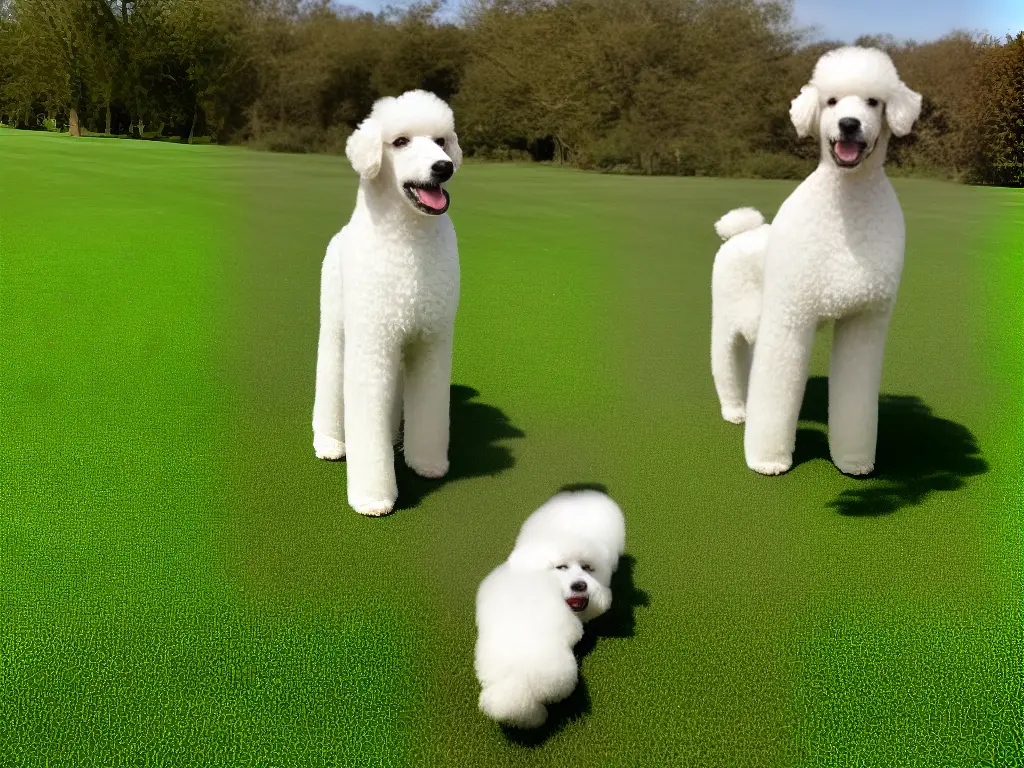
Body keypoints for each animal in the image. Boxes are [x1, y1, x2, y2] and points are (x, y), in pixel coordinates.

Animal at [307, 90, 460, 518]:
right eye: (401, 142)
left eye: (441, 141)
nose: (443, 167)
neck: (410, 243)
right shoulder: (372, 344)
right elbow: (365, 420)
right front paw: (373, 498)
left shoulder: (430, 342)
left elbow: (430, 406)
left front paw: (426, 464)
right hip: (337, 330)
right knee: (331, 380)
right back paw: (330, 442)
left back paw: (394, 439)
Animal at [712, 46, 921, 475]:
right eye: (832, 101)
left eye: (874, 102)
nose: (849, 124)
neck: (846, 210)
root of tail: (739, 232)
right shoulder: (791, 317)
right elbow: (776, 395)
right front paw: (768, 461)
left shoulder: (864, 321)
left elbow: (854, 396)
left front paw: (854, 462)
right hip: (725, 323)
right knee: (726, 367)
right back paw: (736, 411)